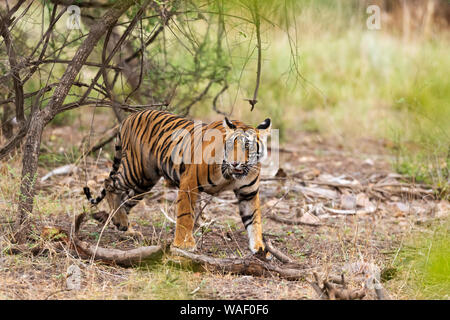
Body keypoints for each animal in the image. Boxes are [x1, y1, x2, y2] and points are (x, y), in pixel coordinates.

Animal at [84, 110, 270, 258]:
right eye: (231, 146)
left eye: (247, 147)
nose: (234, 163)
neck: (231, 176)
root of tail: (130, 117)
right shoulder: (189, 183)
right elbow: (185, 216)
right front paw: (184, 244)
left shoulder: (248, 194)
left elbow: (254, 221)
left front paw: (260, 248)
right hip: (135, 171)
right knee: (109, 183)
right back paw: (121, 220)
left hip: (144, 182)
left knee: (125, 200)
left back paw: (125, 227)